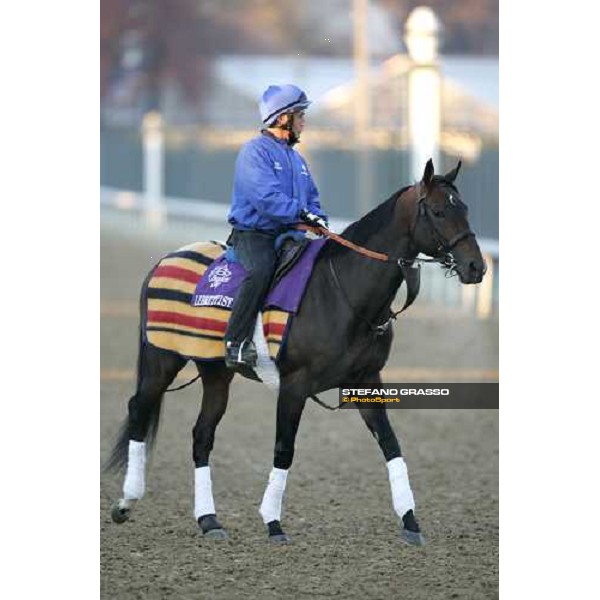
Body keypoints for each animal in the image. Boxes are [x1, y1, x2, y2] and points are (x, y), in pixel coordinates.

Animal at [105, 161, 486, 548]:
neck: (341, 292)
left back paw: (209, 520)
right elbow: (283, 449)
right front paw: (273, 523)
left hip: (216, 373)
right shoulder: (293, 385)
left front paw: (410, 521)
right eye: (438, 211)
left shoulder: (367, 380)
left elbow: (391, 445)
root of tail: (163, 261)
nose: (476, 266)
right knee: (139, 409)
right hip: (161, 359)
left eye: (465, 208)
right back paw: (126, 502)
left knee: (202, 435)